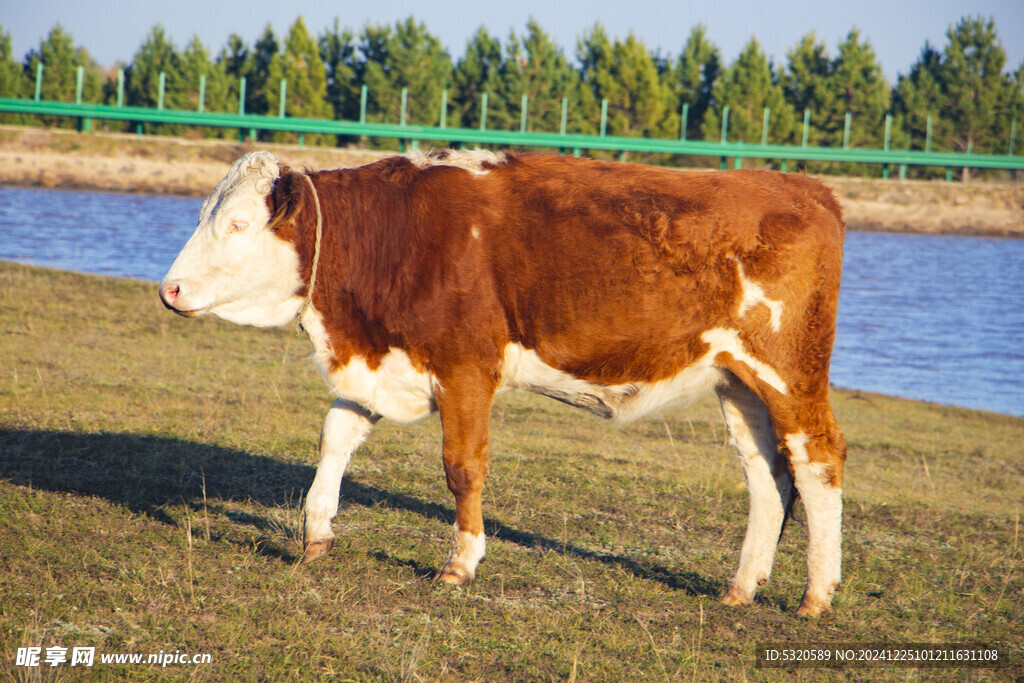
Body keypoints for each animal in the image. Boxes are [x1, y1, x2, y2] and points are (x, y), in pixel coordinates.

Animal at [159, 150, 847, 618]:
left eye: (239, 224)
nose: (169, 289)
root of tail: (802, 185)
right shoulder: (382, 363)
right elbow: (335, 438)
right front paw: (316, 534)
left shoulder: (465, 368)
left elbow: (462, 466)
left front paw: (460, 563)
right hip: (737, 379)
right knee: (766, 473)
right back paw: (741, 587)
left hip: (790, 373)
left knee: (819, 460)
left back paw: (817, 593)